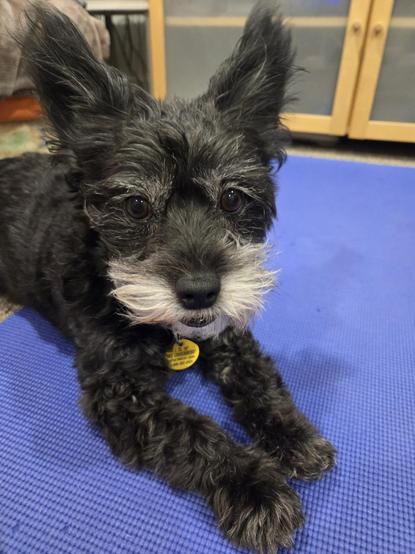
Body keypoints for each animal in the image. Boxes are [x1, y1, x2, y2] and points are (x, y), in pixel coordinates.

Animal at [0, 3, 336, 548]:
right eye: (137, 205)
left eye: (232, 198)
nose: (200, 293)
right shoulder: (119, 390)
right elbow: (194, 433)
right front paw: (255, 486)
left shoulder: (229, 337)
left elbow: (261, 381)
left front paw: (292, 435)